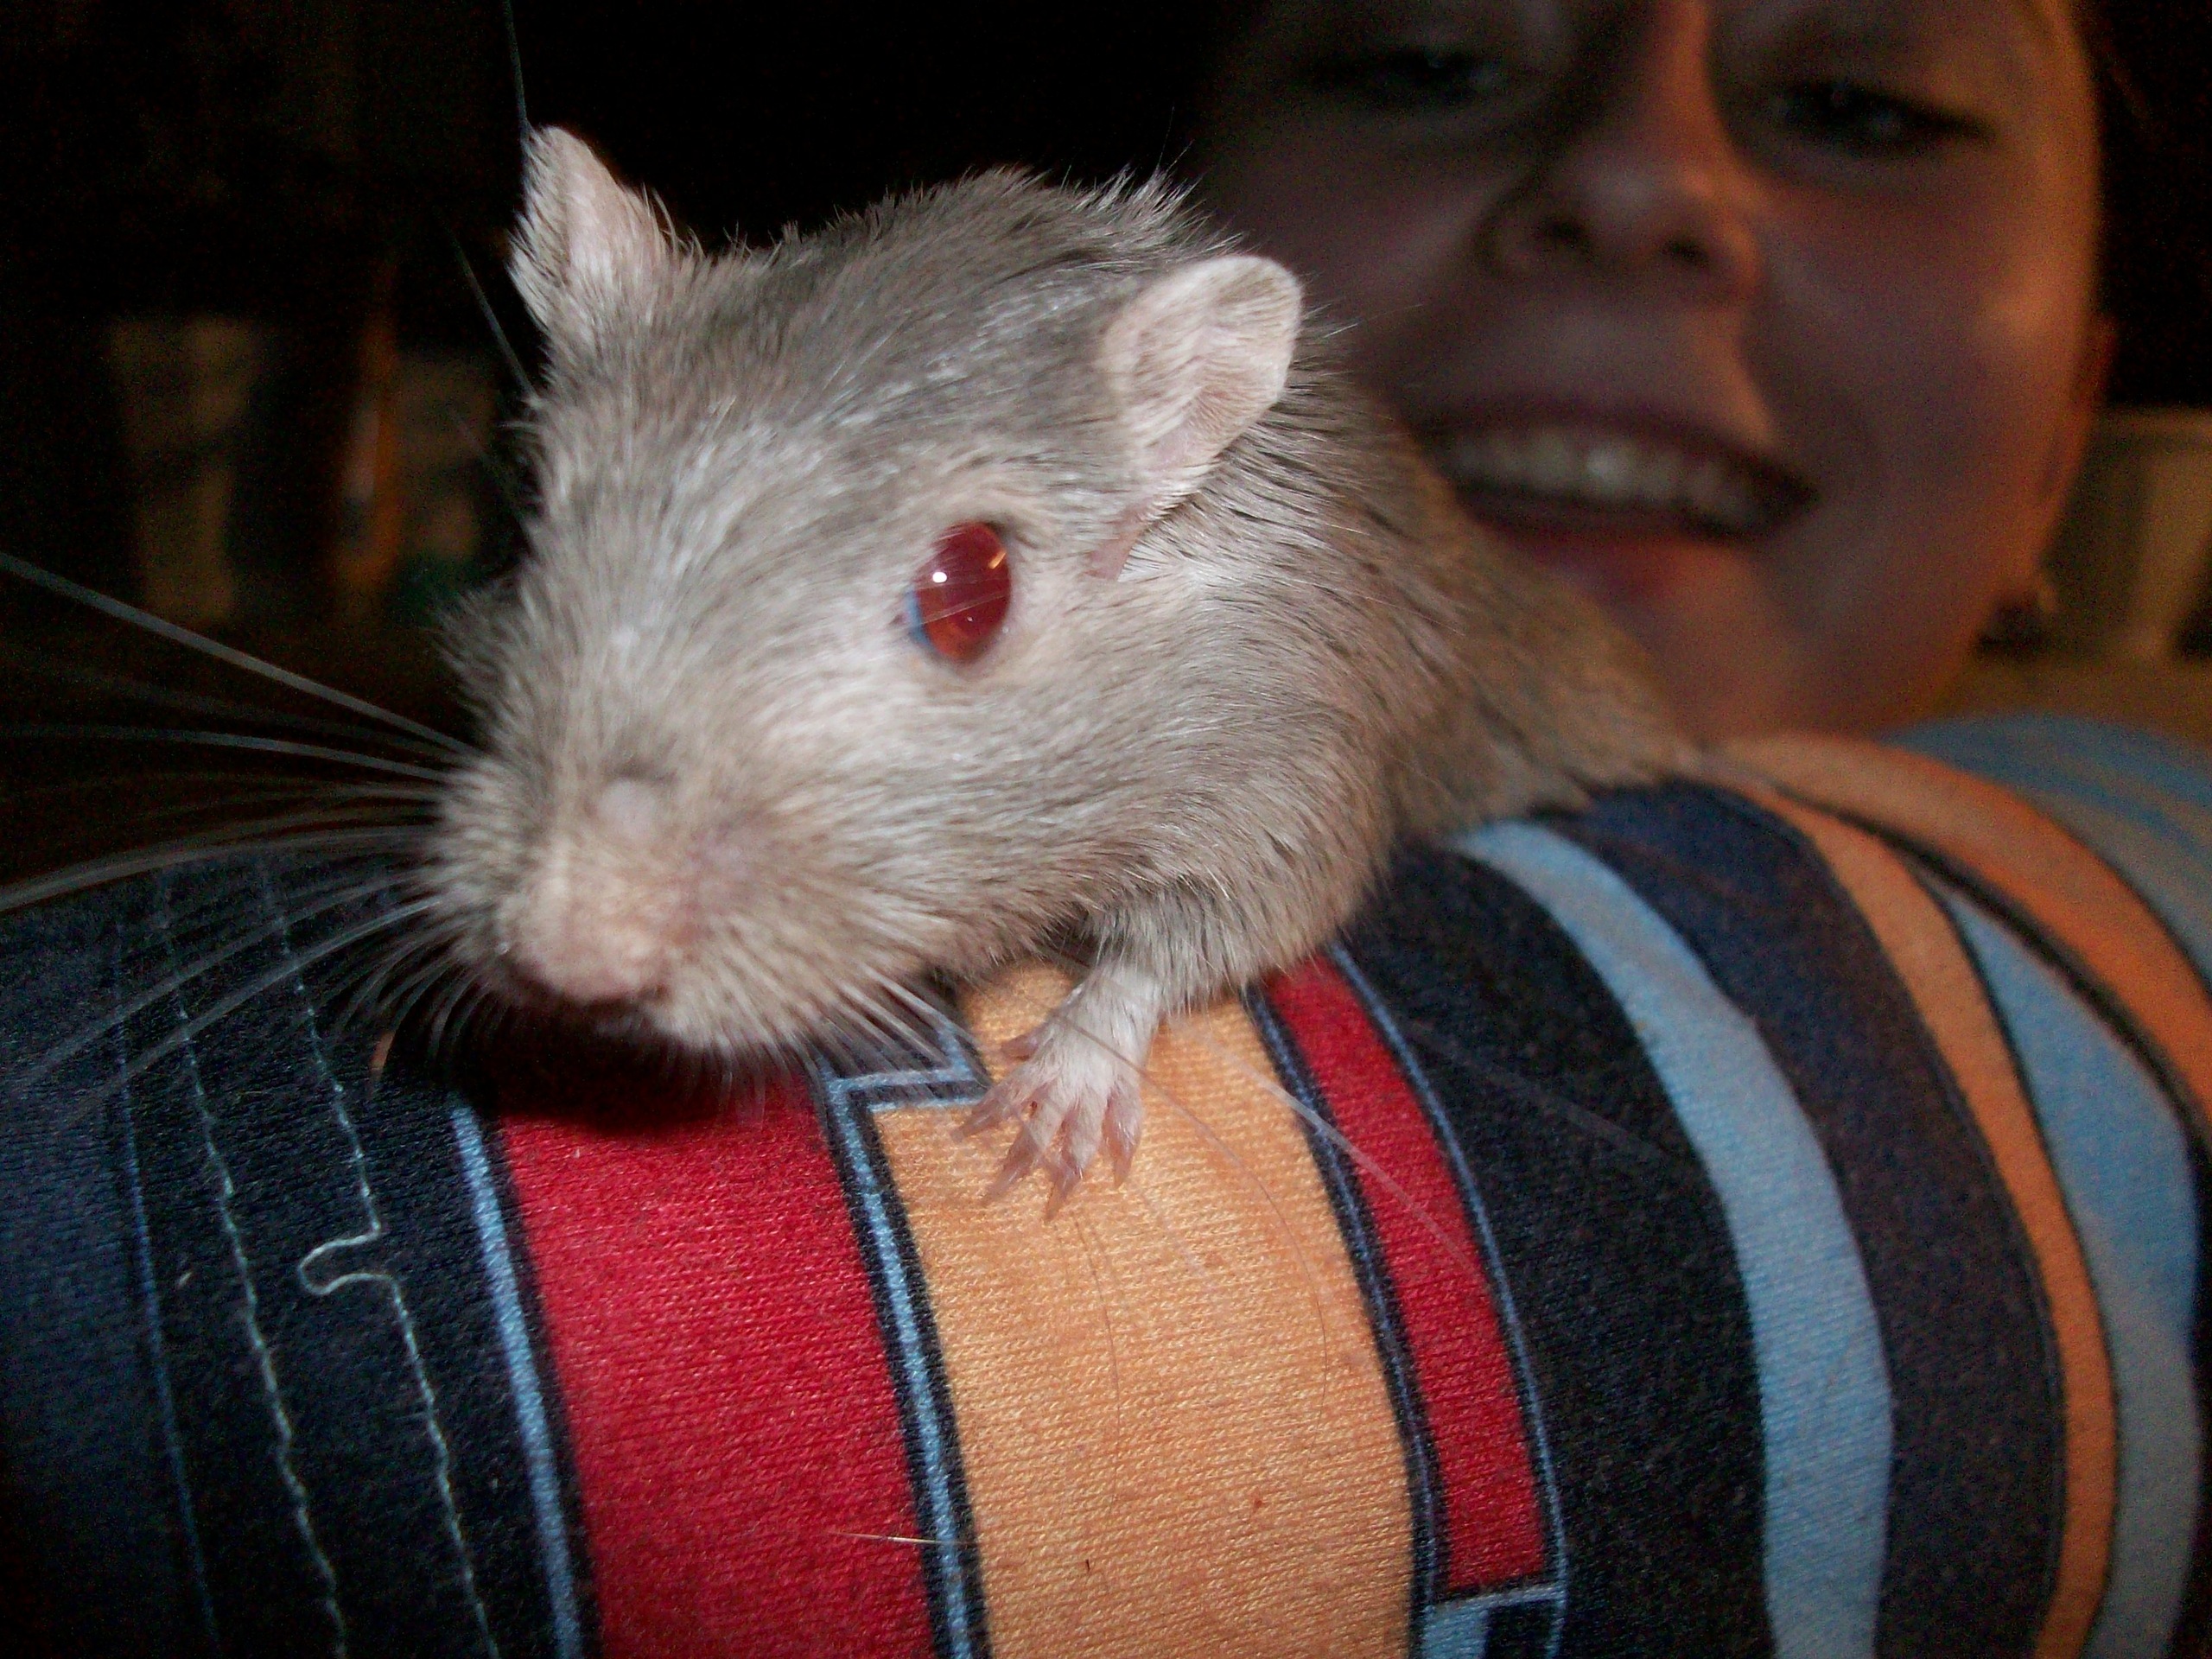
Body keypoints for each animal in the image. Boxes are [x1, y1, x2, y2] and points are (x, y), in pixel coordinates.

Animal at [425, 129, 1687, 1204]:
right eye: (530, 517)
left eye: (970, 593)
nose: (569, 957)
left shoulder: (1290, 764)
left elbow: (1214, 932)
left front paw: (1063, 1087)